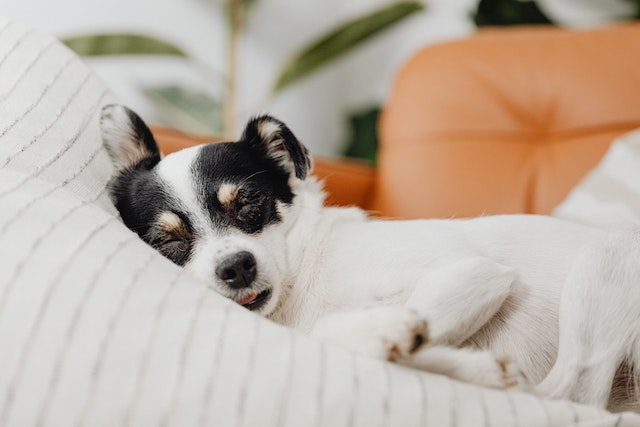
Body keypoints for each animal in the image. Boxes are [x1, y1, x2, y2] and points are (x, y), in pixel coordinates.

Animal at [101, 104, 640, 414]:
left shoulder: (475, 273)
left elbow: (340, 329)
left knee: (571, 396)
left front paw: (393, 332)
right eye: (168, 240)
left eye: (250, 203)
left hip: (608, 253)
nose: (236, 267)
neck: (305, 279)